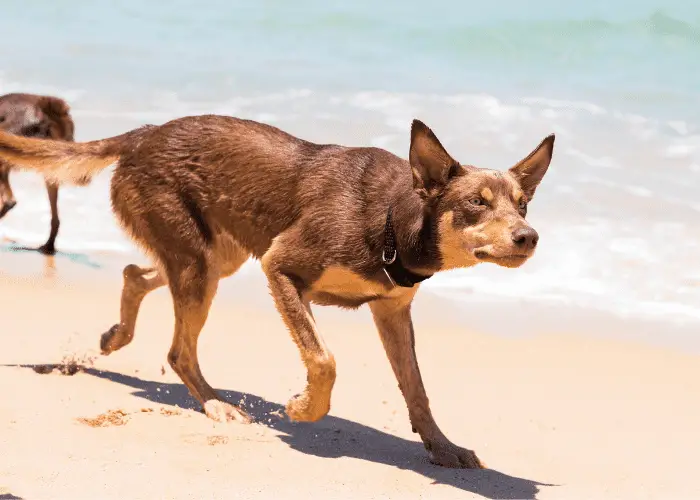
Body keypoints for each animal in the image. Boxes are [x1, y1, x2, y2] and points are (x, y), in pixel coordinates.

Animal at [0, 117, 552, 468]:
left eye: (523, 204)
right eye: (476, 203)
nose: (529, 237)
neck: (394, 220)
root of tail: (145, 134)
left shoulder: (391, 311)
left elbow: (416, 388)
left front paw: (441, 446)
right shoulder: (281, 266)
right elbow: (324, 360)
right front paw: (303, 409)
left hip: (216, 258)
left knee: (136, 273)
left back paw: (117, 335)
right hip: (201, 264)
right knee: (179, 350)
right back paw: (215, 405)